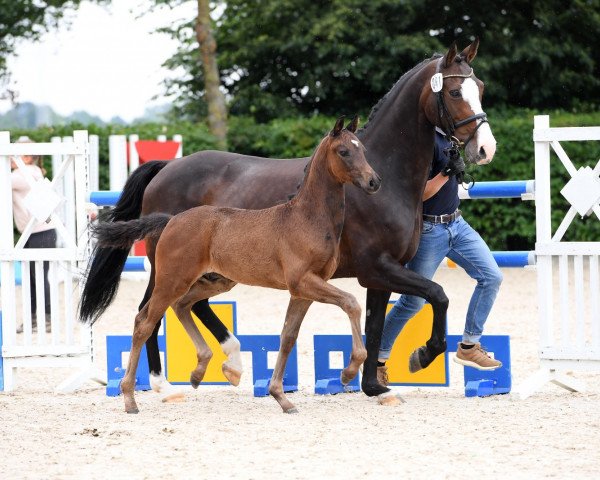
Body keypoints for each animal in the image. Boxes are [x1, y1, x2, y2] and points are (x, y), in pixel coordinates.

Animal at [91, 117, 382, 412]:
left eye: (362, 149)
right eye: (344, 152)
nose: (374, 181)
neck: (306, 218)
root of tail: (170, 220)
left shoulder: (303, 291)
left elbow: (288, 336)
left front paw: (280, 396)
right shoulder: (303, 281)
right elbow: (351, 303)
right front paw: (347, 372)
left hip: (215, 281)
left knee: (182, 305)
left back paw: (200, 371)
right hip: (172, 280)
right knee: (145, 321)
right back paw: (132, 396)